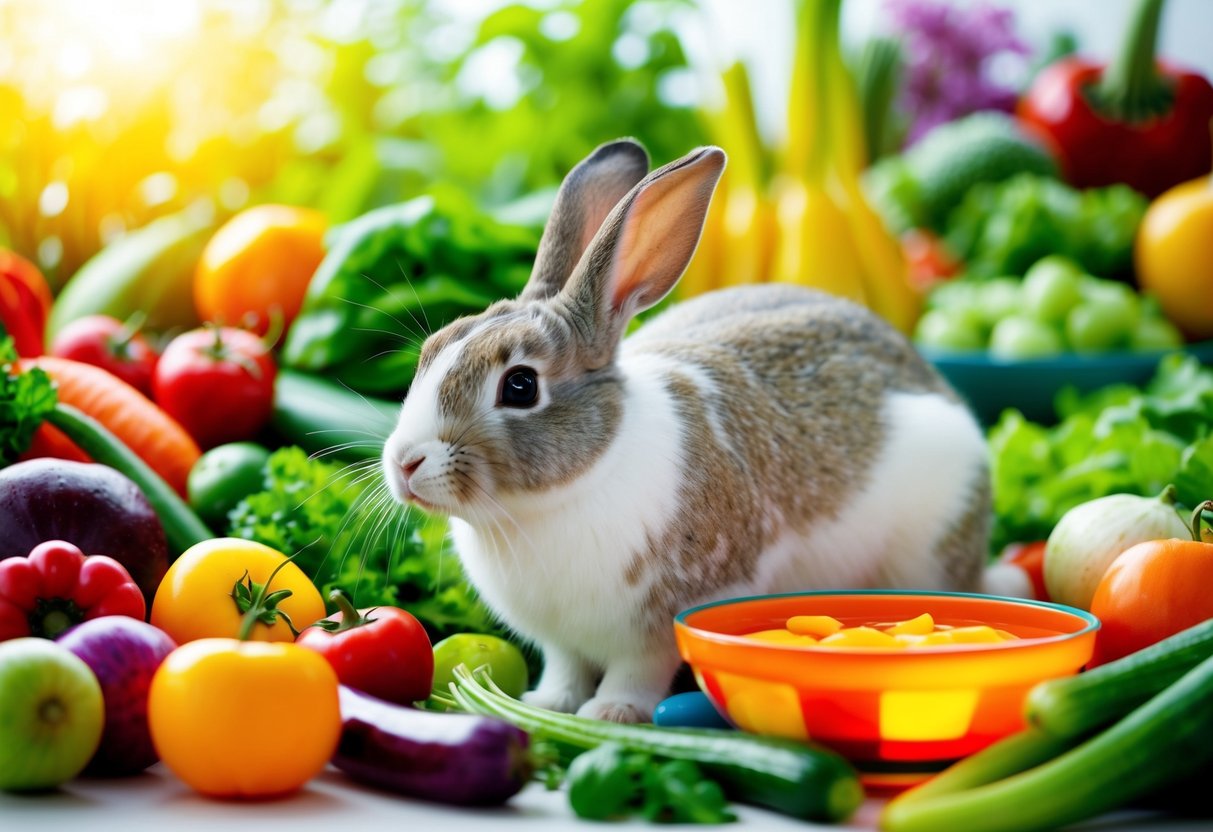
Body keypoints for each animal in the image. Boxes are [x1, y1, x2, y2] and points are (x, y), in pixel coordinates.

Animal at [382, 138, 1021, 723]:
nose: (405, 463)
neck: (555, 500)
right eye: (433, 348)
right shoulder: (560, 640)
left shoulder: (663, 622)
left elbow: (638, 672)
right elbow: (565, 669)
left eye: (520, 386)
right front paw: (547, 704)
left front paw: (610, 714)